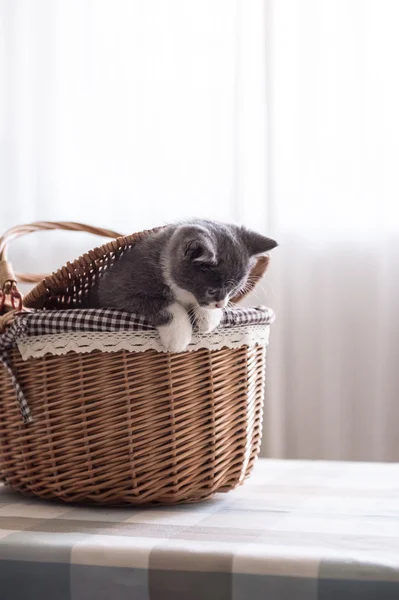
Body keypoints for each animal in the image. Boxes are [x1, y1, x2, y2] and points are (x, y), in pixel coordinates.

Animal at [88, 219, 278, 352]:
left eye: (233, 290)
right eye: (212, 291)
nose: (220, 304)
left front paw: (208, 317)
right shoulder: (115, 288)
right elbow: (162, 302)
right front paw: (178, 335)